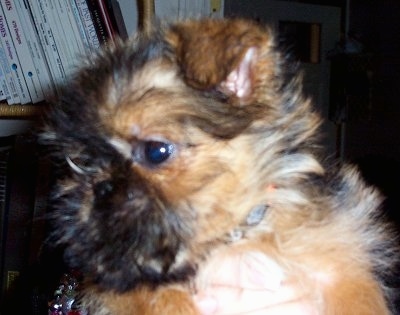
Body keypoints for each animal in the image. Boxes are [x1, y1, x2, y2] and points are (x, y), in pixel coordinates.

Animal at [40, 18, 396, 314]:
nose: (100, 187)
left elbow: (360, 301)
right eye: (81, 162)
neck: (234, 238)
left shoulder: (340, 263)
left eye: (155, 152)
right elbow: (157, 299)